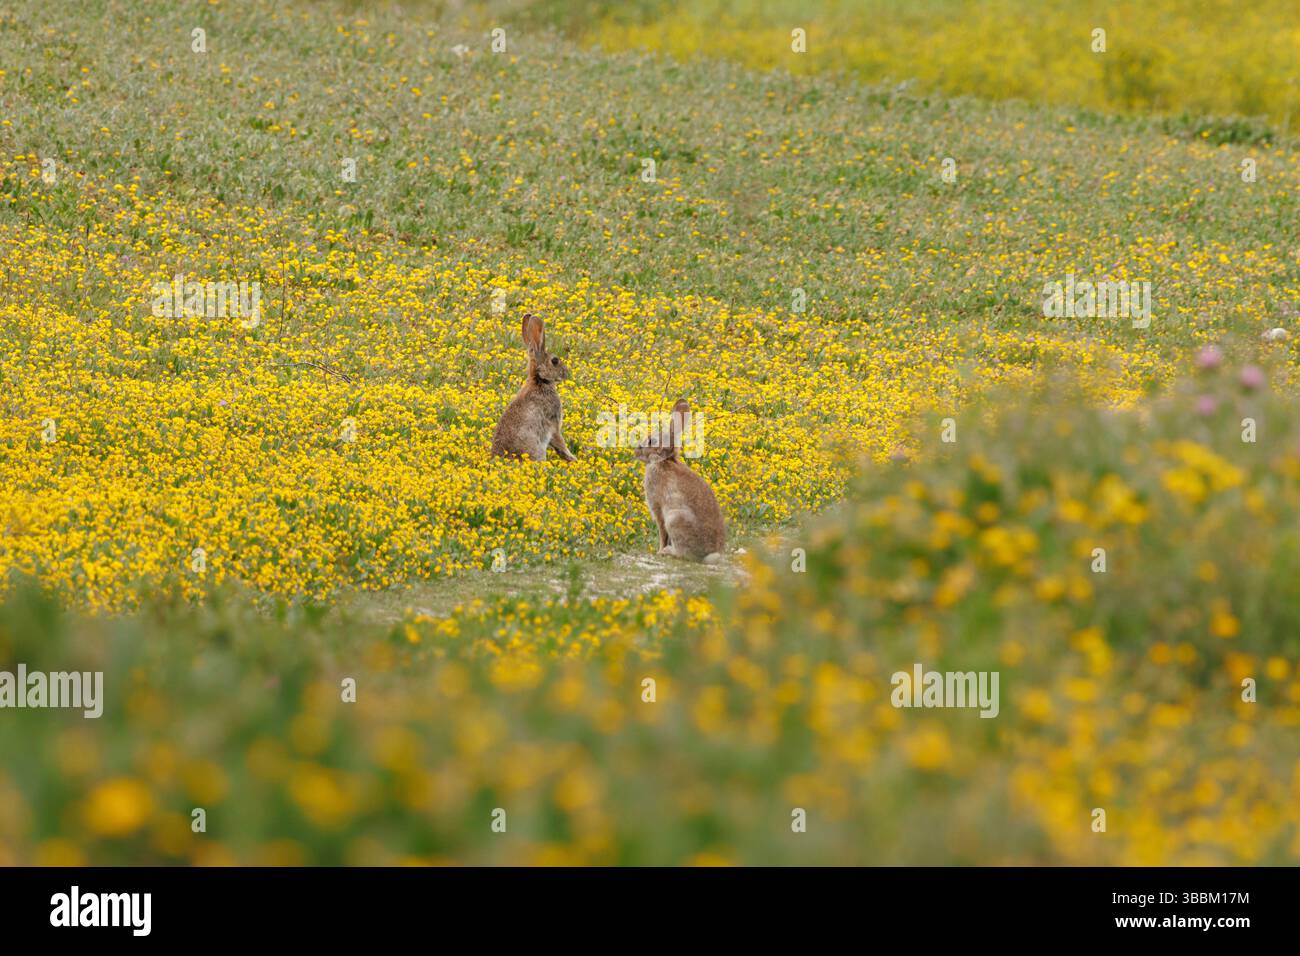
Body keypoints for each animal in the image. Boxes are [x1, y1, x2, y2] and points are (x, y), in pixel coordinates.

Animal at [490, 313, 578, 462]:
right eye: (555, 361)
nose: (566, 373)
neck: (539, 380)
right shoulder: (553, 423)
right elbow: (560, 442)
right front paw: (572, 458)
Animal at [634, 398, 726, 563]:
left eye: (651, 441)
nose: (636, 451)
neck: (663, 461)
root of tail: (709, 555)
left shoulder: (658, 508)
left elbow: (662, 533)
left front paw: (659, 550)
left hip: (675, 519)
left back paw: (667, 552)